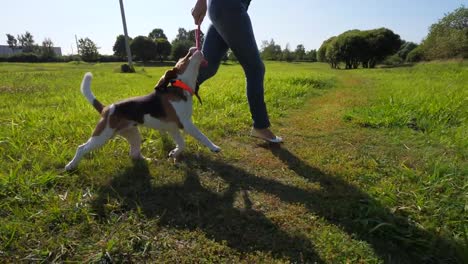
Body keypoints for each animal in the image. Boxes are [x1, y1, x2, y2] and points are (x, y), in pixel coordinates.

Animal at [64, 47, 221, 171]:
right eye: (186, 56)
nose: (193, 48)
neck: (180, 87)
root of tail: (106, 108)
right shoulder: (186, 124)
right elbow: (202, 136)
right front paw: (214, 147)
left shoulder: (173, 128)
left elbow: (182, 144)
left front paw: (174, 153)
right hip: (101, 136)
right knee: (81, 148)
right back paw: (70, 165)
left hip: (132, 134)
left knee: (134, 154)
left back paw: (148, 161)